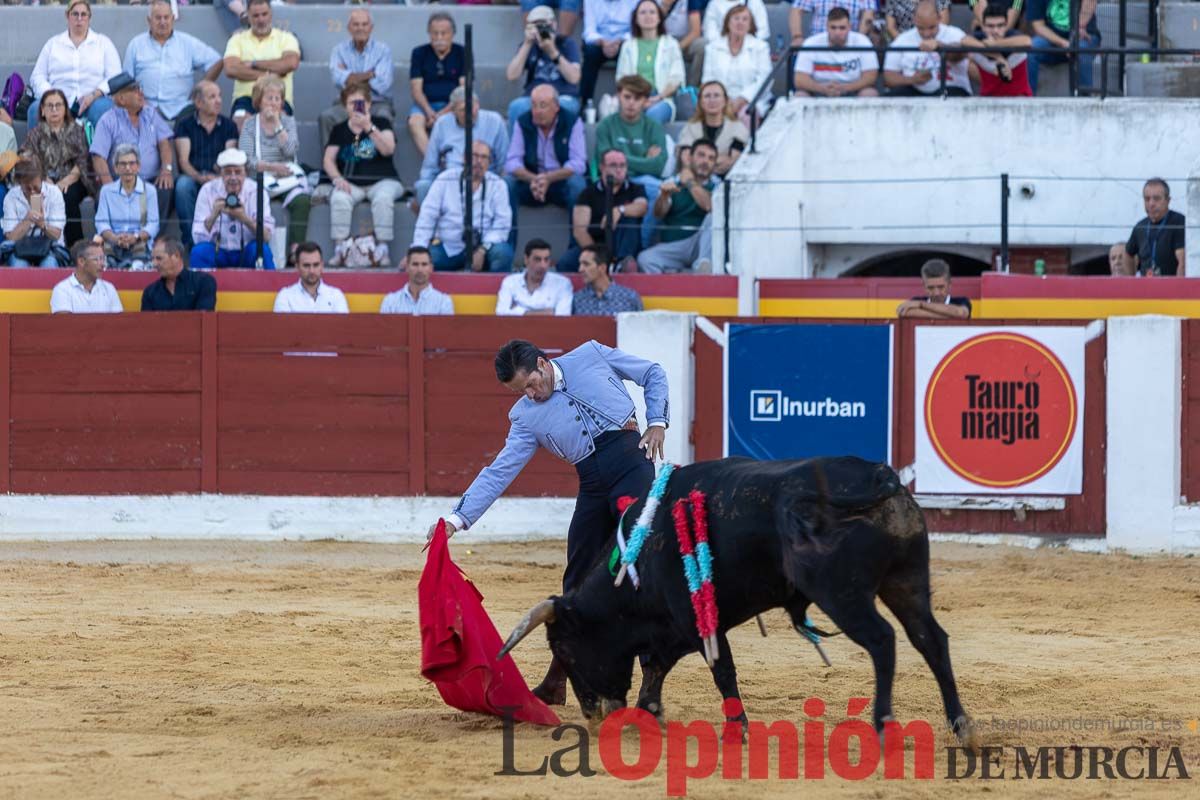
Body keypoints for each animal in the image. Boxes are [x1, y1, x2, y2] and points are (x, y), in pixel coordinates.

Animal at [496, 455, 974, 743]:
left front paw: (736, 727)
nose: (594, 714)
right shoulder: (676, 625)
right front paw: (651, 711)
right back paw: (961, 724)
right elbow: (658, 665)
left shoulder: (693, 618)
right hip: (905, 581)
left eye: (564, 649)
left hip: (843, 594)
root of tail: (879, 475)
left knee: (883, 641)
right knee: (932, 640)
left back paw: (883, 723)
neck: (636, 560)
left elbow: (720, 668)